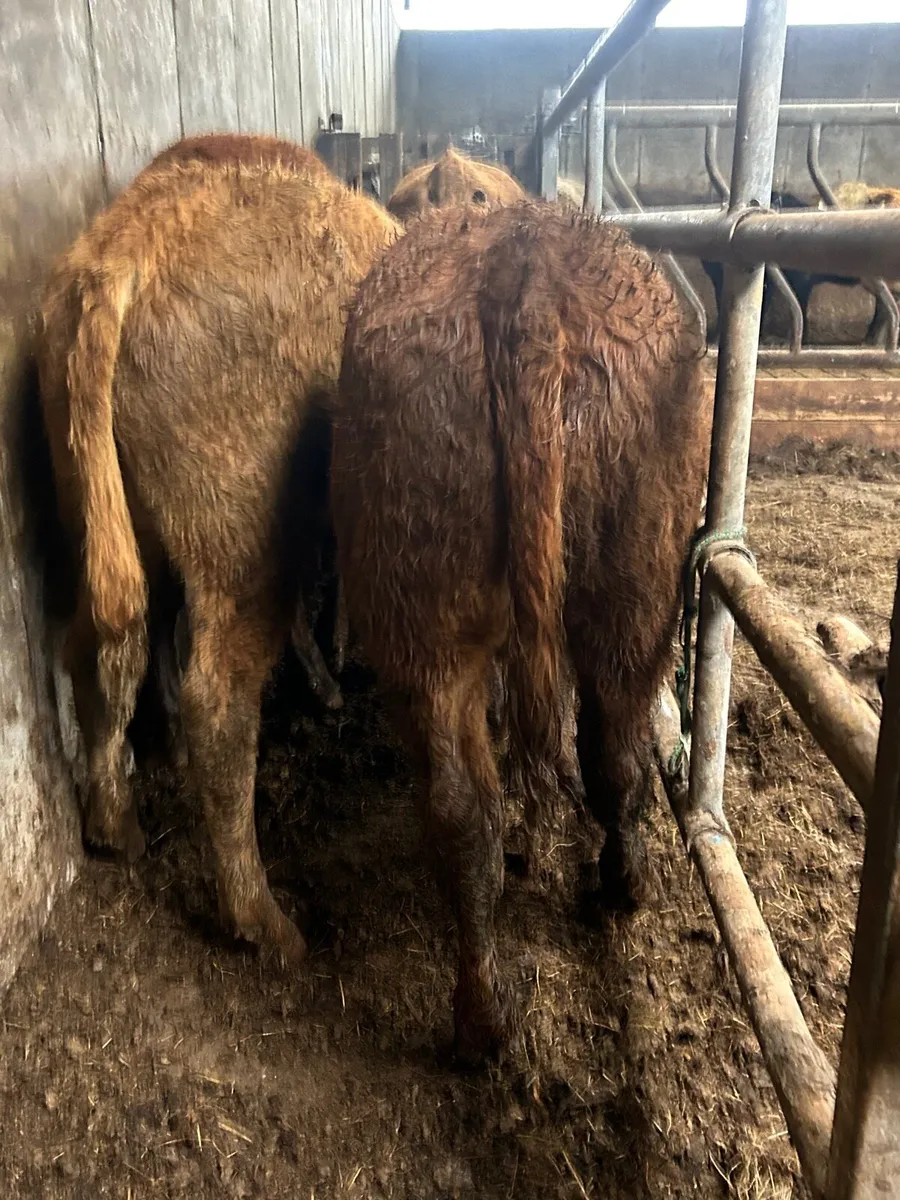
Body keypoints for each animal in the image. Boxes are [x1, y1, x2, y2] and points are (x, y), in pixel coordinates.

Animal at [38, 154, 400, 964]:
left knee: (107, 641)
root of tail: (122, 253)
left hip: (108, 518)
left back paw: (115, 827)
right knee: (219, 700)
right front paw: (333, 675)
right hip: (241, 542)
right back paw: (265, 923)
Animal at [330, 203, 710, 1061]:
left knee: (471, 805)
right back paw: (620, 890)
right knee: (601, 752)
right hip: (616, 600)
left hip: (466, 620)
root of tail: (524, 268)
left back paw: (486, 1019)